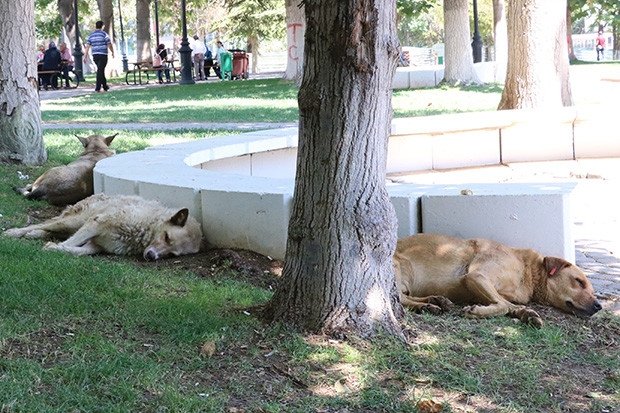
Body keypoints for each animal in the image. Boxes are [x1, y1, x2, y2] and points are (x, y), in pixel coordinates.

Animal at [4, 194, 203, 260]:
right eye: (167, 237)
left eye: (172, 254)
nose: (151, 257)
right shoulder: (96, 223)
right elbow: (72, 243)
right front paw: (52, 247)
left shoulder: (97, 245)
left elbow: (77, 250)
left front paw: (55, 248)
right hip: (74, 221)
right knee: (47, 224)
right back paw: (14, 232)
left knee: (50, 230)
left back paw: (35, 234)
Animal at [394, 233, 604, 326]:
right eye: (579, 281)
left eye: (592, 291)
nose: (599, 306)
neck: (527, 270)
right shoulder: (476, 276)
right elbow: (503, 305)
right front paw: (477, 312)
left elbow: (509, 304)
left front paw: (525, 313)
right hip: (399, 267)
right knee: (400, 297)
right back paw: (427, 305)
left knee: (404, 296)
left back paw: (434, 301)